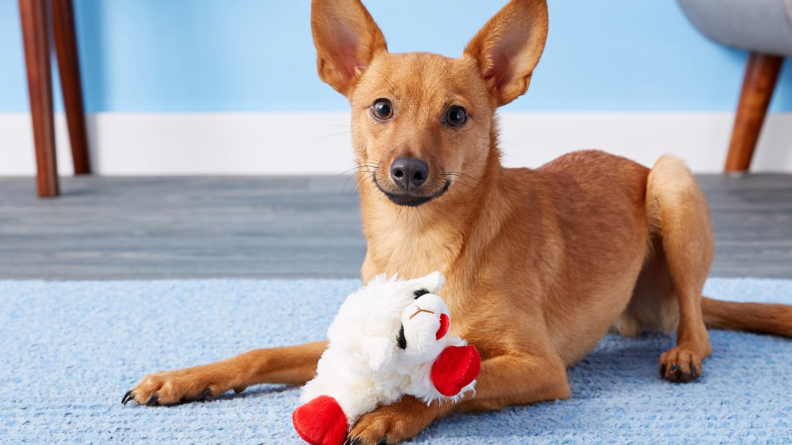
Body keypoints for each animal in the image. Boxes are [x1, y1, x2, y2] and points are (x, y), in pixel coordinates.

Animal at [122, 1, 792, 442]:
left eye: (456, 115)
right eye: (381, 108)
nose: (409, 170)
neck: (421, 245)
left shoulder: (539, 366)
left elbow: (446, 383)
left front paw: (390, 413)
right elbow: (263, 353)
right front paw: (184, 379)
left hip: (672, 183)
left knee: (699, 322)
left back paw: (686, 352)